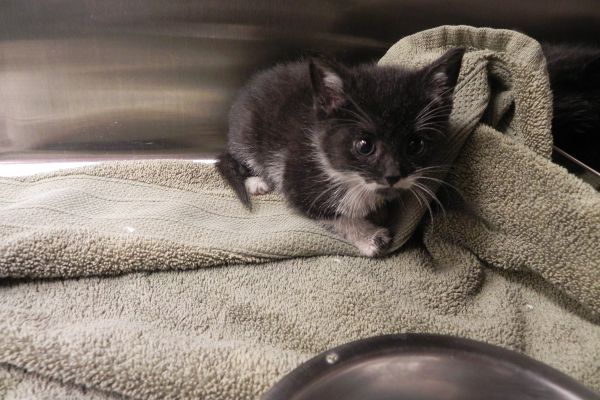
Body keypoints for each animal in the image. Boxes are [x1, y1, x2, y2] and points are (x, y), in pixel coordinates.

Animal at [216, 48, 464, 258]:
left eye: (415, 145)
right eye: (364, 145)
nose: (392, 175)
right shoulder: (298, 182)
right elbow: (334, 214)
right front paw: (371, 236)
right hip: (247, 133)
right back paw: (256, 182)